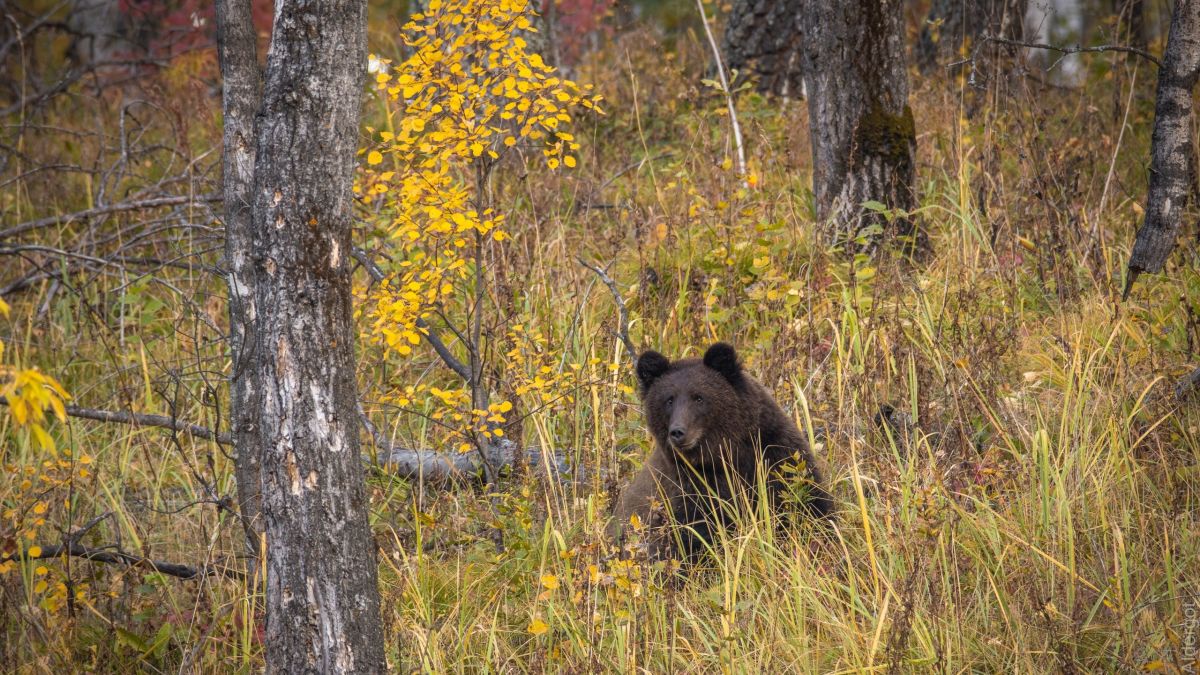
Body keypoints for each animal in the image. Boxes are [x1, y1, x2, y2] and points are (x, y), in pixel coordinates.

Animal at [609, 341, 835, 562]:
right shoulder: (690, 488)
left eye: (699, 397)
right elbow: (698, 535)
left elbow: (809, 501)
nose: (678, 432)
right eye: (669, 400)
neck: (726, 454)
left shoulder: (775, 452)